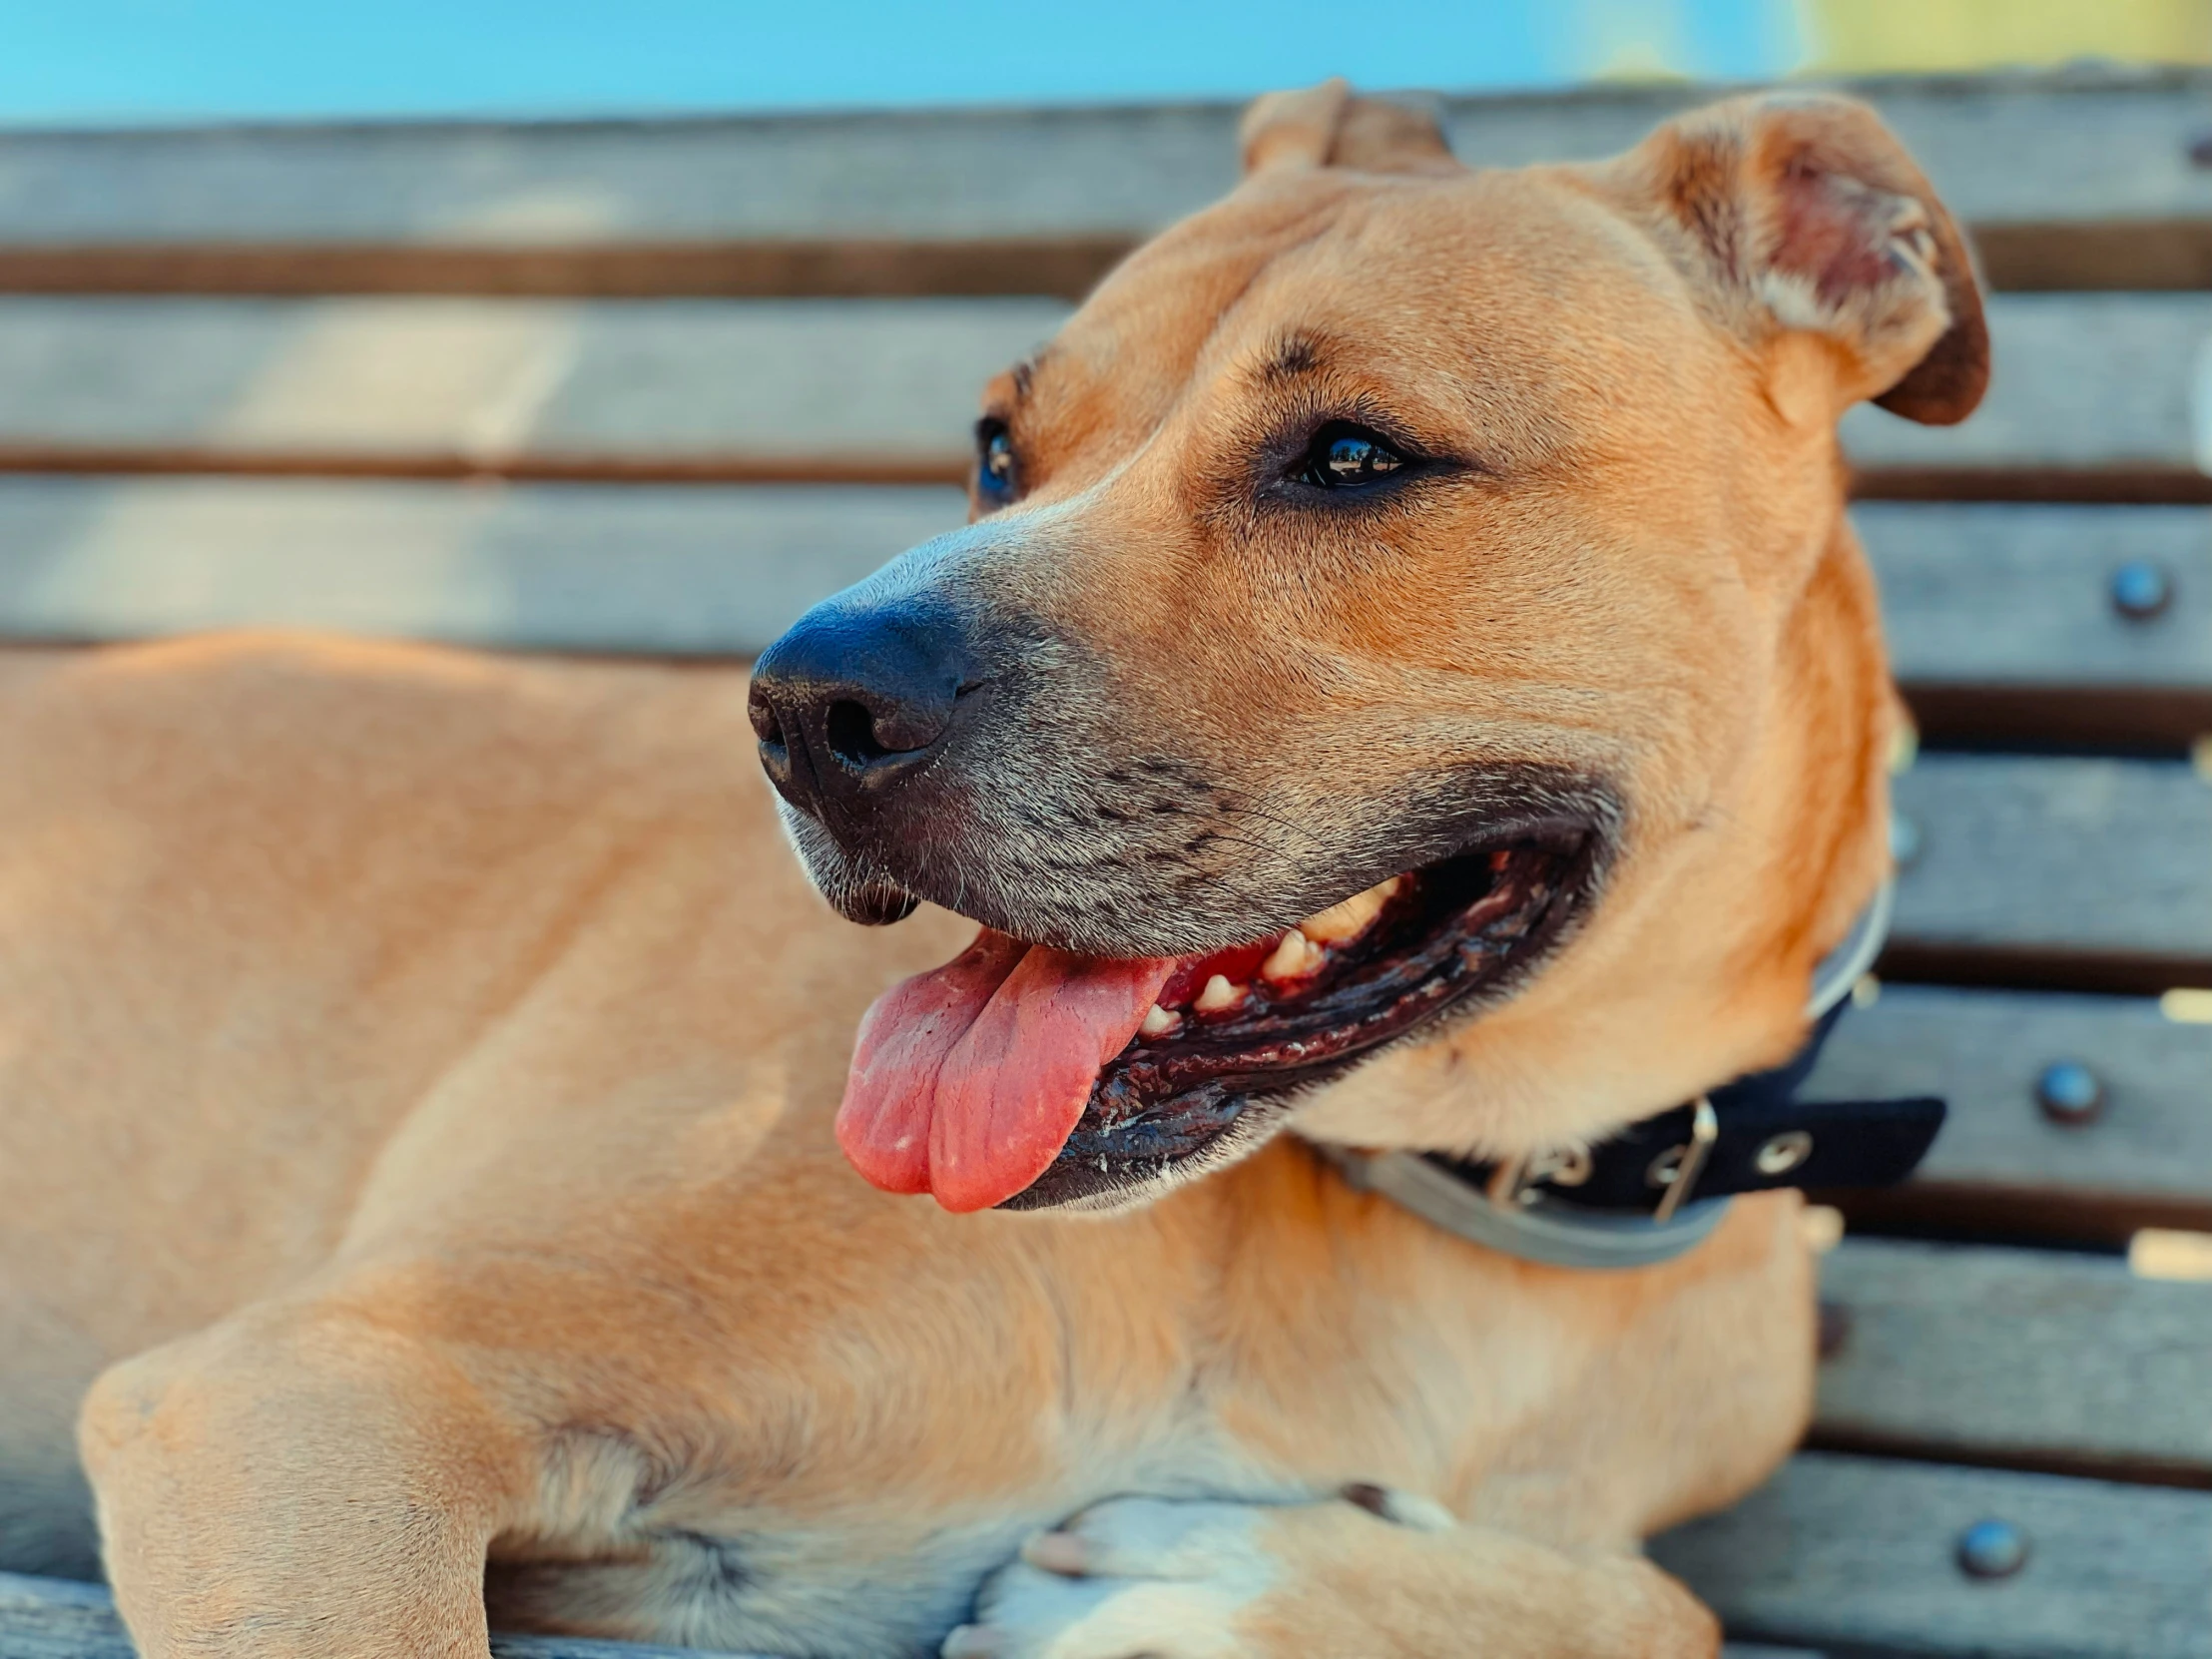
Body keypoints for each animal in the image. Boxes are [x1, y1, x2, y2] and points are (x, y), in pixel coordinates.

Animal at [0, 81, 1990, 1659]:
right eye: (996, 448)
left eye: (1354, 456)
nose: (803, 707)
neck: (1453, 1225)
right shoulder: (317, 1388)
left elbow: (1671, 1606)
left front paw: (1224, 1590)